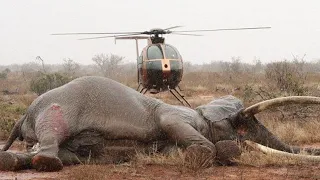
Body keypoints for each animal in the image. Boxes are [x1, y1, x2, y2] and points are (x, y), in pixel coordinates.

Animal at [0, 76, 320, 172]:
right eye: (242, 126)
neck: (202, 113)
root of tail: (23, 116)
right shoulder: (176, 116)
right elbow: (173, 125)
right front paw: (214, 152)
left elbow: (170, 150)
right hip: (58, 107)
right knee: (52, 134)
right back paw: (46, 164)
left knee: (62, 153)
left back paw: (13, 162)